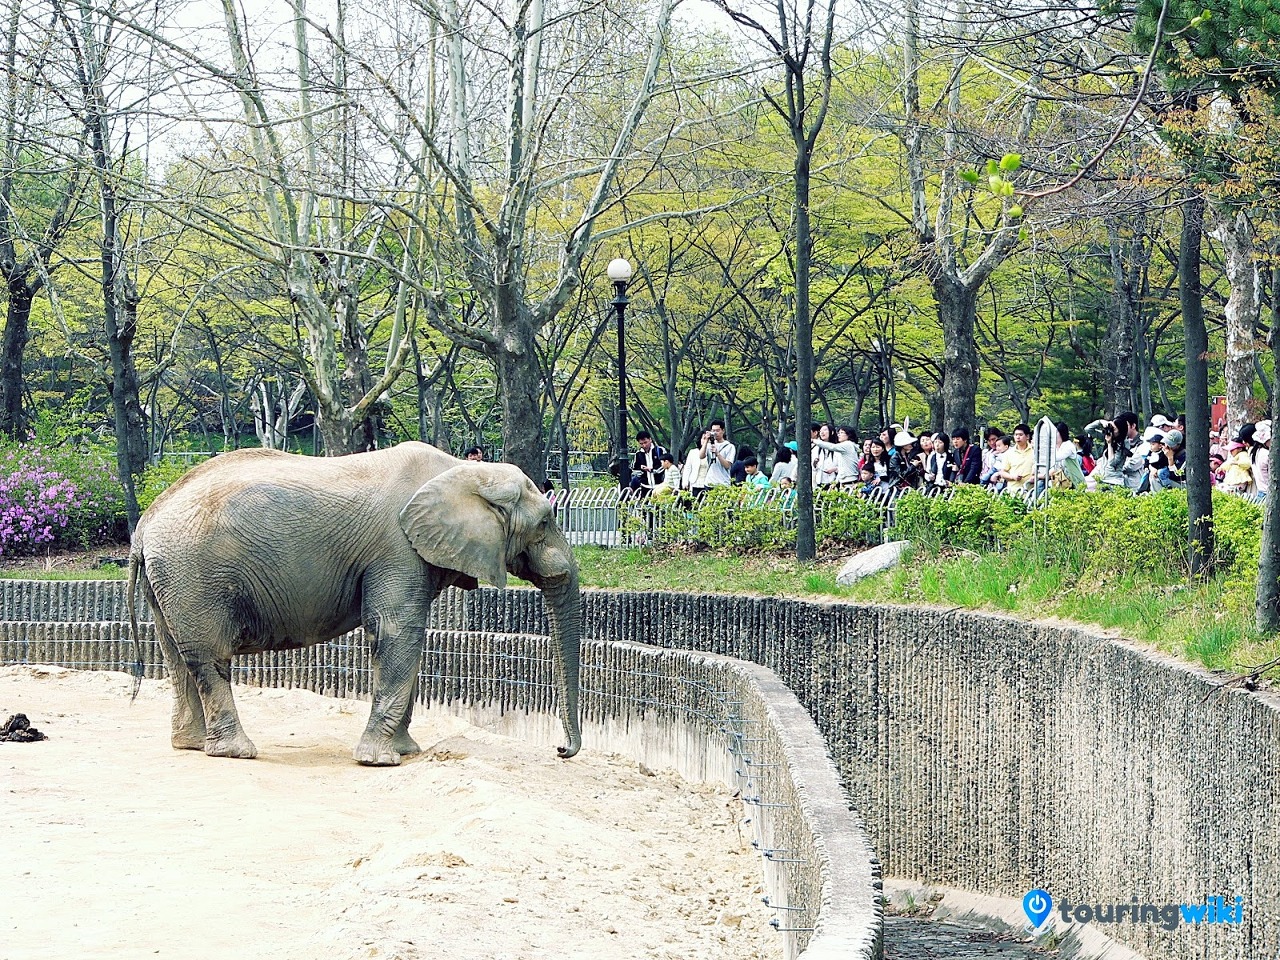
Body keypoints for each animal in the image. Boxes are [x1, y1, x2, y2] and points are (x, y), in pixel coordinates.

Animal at [122, 442, 583, 768]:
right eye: (545, 522)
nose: (561, 750)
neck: (465, 470)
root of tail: (145, 525)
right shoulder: (398, 549)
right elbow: (397, 631)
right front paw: (380, 761)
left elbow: (402, 640)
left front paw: (406, 752)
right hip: (194, 575)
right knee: (209, 656)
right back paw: (235, 752)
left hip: (171, 580)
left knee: (177, 656)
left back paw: (191, 745)